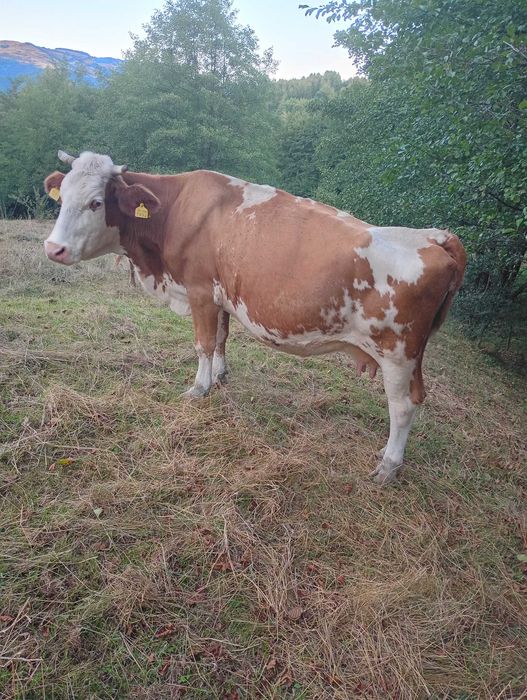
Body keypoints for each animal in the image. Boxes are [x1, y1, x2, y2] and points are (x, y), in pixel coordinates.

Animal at [43, 150, 466, 484]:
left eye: (96, 203)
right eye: (63, 198)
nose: (53, 248)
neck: (176, 210)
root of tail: (433, 236)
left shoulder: (199, 291)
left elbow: (203, 343)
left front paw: (199, 388)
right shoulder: (220, 297)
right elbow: (221, 339)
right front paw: (220, 376)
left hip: (397, 351)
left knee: (403, 407)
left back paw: (389, 465)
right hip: (411, 355)